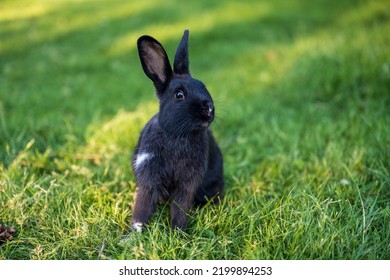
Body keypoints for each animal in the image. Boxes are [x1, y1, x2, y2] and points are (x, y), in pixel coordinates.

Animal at [130, 30, 224, 232]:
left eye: (203, 86)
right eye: (179, 95)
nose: (209, 109)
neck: (177, 135)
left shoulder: (187, 184)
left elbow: (180, 206)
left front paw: (177, 232)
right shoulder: (149, 177)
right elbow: (143, 206)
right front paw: (134, 232)